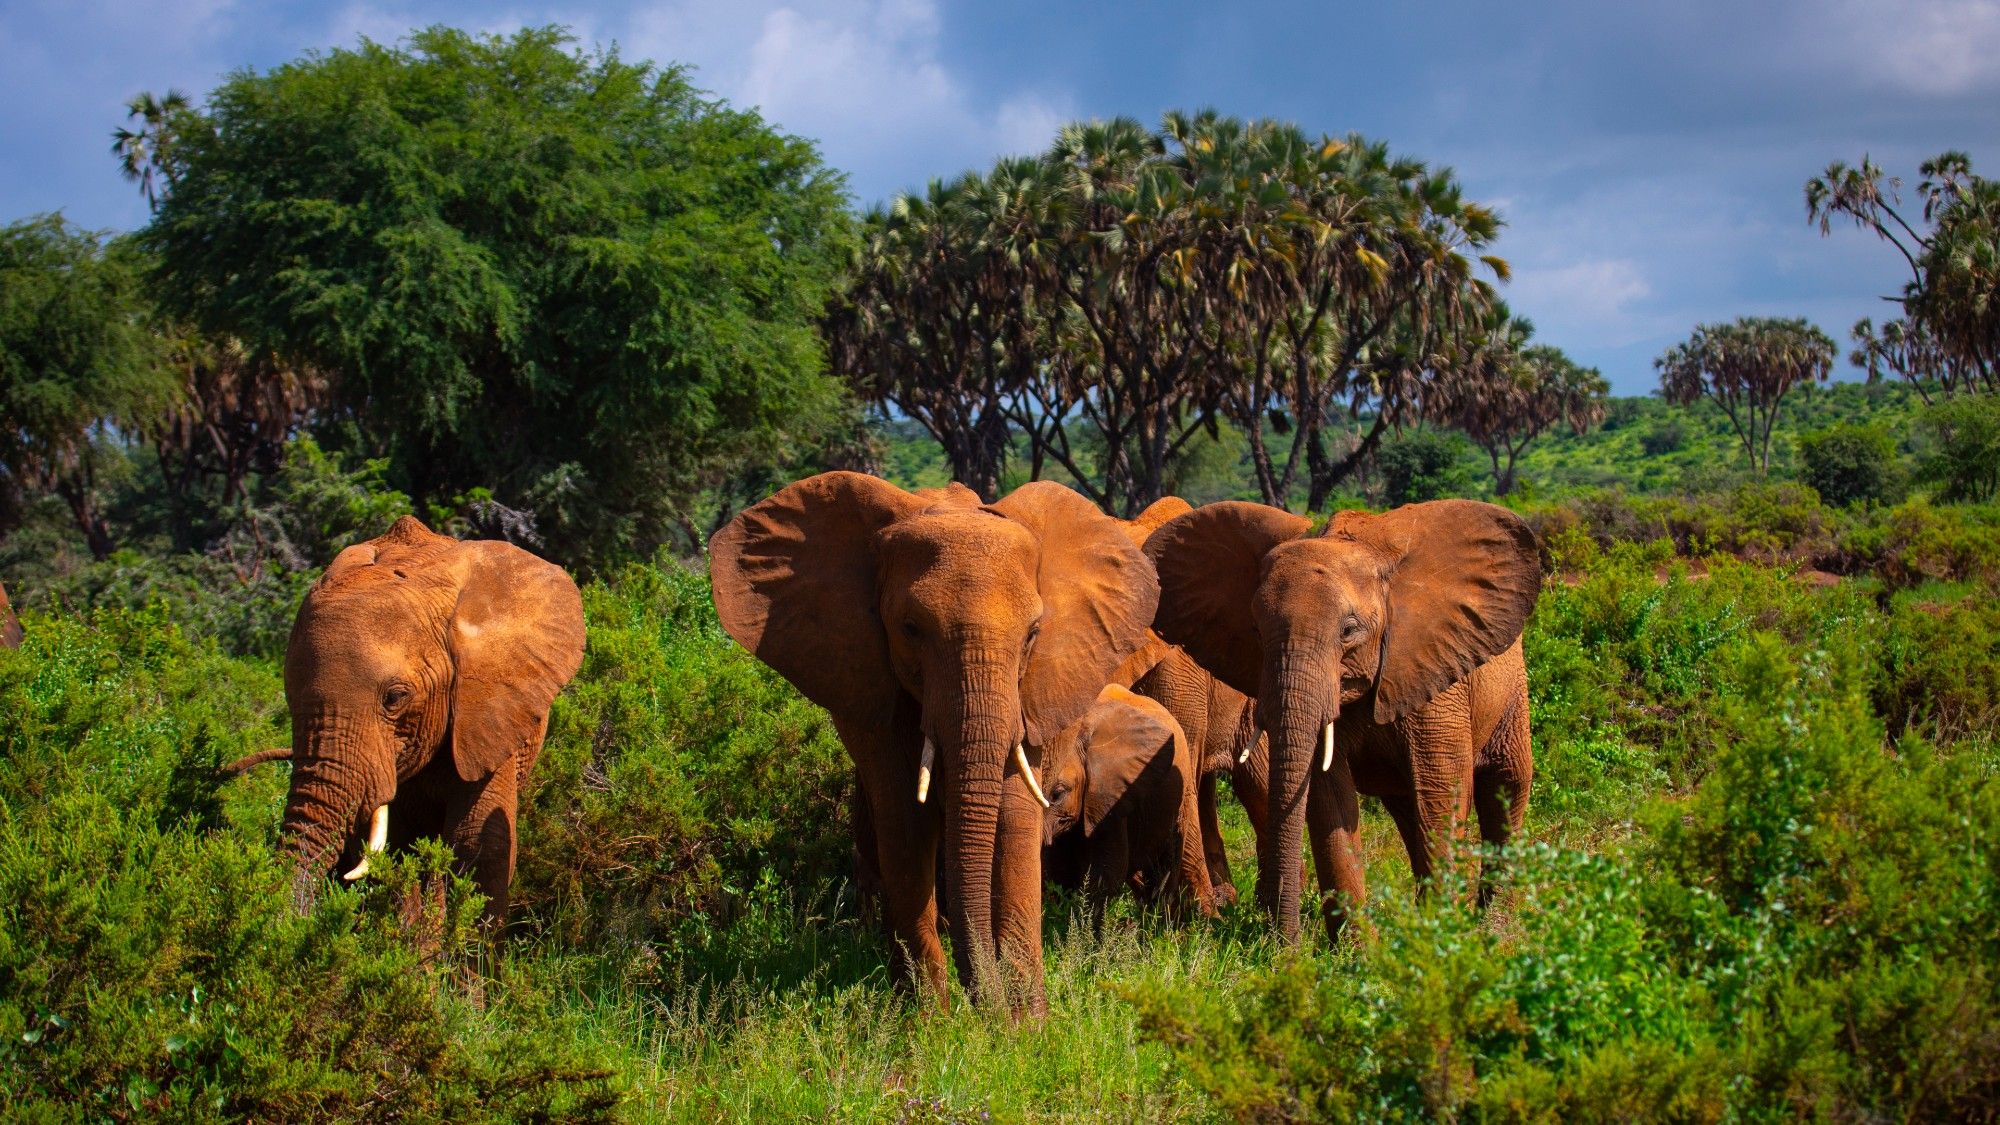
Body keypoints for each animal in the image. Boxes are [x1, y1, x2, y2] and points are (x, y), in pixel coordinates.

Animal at [710, 472, 1158, 1014]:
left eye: (1033, 634)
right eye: (909, 629)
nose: (986, 1009)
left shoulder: (1031, 695)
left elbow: (1014, 817)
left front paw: (1026, 1023)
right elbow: (904, 821)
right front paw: (928, 1022)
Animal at [1039, 684, 1216, 921]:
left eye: (1057, 794)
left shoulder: (1110, 798)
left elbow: (1107, 874)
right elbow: (1058, 874)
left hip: (1182, 793)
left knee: (1164, 868)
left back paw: (1156, 925)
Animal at [1145, 499, 1541, 943]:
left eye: (1349, 630)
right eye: (1257, 630)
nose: (1285, 947)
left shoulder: (1433, 674)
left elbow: (1440, 793)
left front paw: (1438, 942)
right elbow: (1330, 801)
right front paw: (1357, 954)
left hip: (1511, 689)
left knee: (1505, 787)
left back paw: (1497, 932)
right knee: (1407, 809)